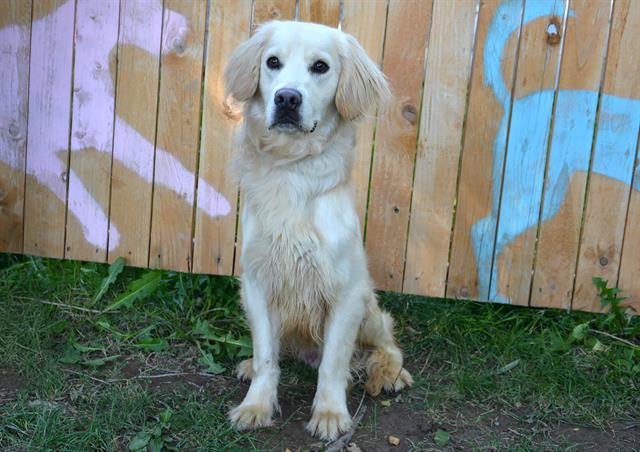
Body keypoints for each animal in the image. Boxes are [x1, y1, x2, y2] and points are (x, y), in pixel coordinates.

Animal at [225, 19, 416, 440]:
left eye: (320, 67)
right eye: (273, 62)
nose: (287, 99)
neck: (293, 170)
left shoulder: (345, 291)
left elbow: (333, 364)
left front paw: (330, 414)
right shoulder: (258, 282)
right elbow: (266, 356)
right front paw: (256, 405)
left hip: (369, 309)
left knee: (387, 343)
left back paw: (388, 372)